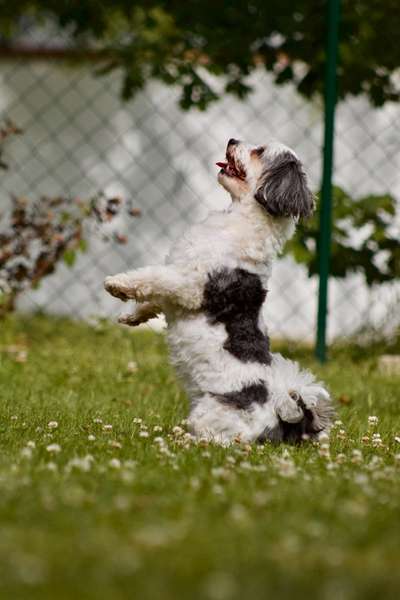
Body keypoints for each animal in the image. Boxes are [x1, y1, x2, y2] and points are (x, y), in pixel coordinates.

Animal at [104, 138, 332, 442]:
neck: (239, 220)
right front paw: (132, 316)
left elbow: (154, 277)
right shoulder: (178, 282)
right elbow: (155, 298)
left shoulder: (189, 283)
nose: (232, 140)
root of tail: (279, 420)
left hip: (209, 415)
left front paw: (118, 285)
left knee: (218, 440)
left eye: (259, 150)